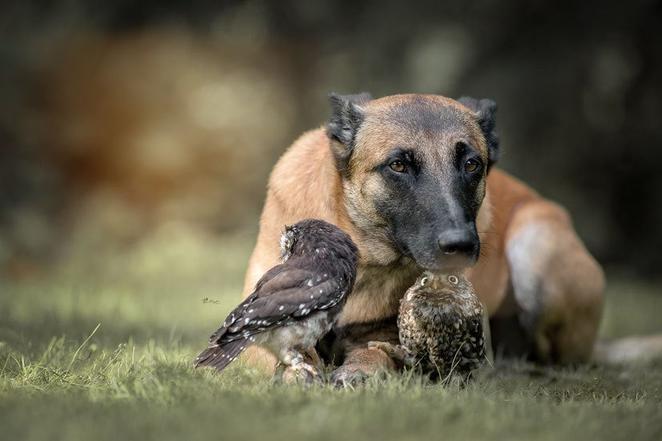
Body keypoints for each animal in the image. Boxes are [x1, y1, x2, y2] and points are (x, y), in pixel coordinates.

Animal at [240, 93, 608, 384]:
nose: (460, 246)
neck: (363, 260)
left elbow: (376, 353)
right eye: (398, 165)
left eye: (472, 164)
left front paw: (359, 371)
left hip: (533, 244)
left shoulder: (386, 333)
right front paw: (297, 372)